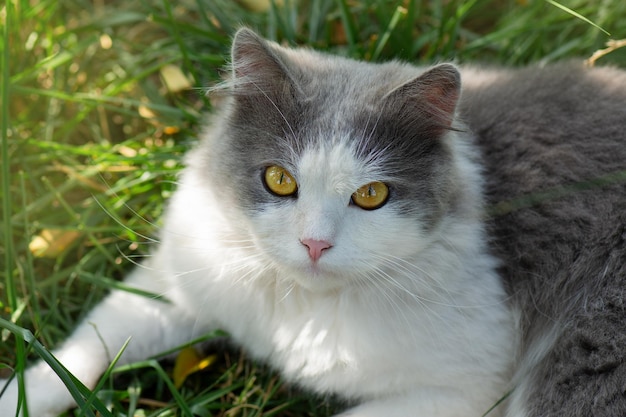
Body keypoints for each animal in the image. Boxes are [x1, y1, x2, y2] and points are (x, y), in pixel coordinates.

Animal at [0, 28, 620, 416]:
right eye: (278, 180)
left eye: (371, 195)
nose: (314, 243)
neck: (298, 306)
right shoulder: (181, 280)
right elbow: (87, 346)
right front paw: (15, 398)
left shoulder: (469, 388)